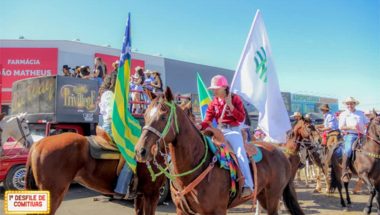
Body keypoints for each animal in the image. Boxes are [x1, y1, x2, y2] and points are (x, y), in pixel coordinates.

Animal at [135, 87, 304, 215]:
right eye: (145, 115)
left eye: (163, 117)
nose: (140, 151)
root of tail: (281, 153)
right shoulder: (182, 210)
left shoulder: (217, 211)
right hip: (263, 196)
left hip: (273, 198)